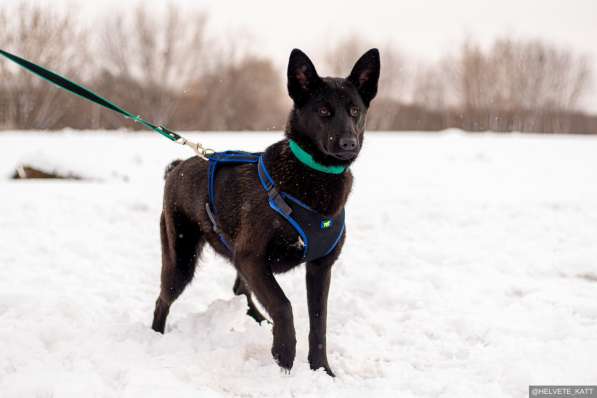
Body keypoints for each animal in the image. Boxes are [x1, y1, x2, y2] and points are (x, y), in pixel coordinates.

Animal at [151, 48, 380, 374]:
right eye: (323, 111)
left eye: (354, 111)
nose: (349, 143)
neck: (312, 176)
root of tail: (178, 167)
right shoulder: (252, 257)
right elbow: (284, 305)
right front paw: (283, 356)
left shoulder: (319, 268)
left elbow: (319, 323)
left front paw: (322, 370)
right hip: (180, 260)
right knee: (163, 300)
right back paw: (155, 338)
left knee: (239, 290)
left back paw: (260, 322)